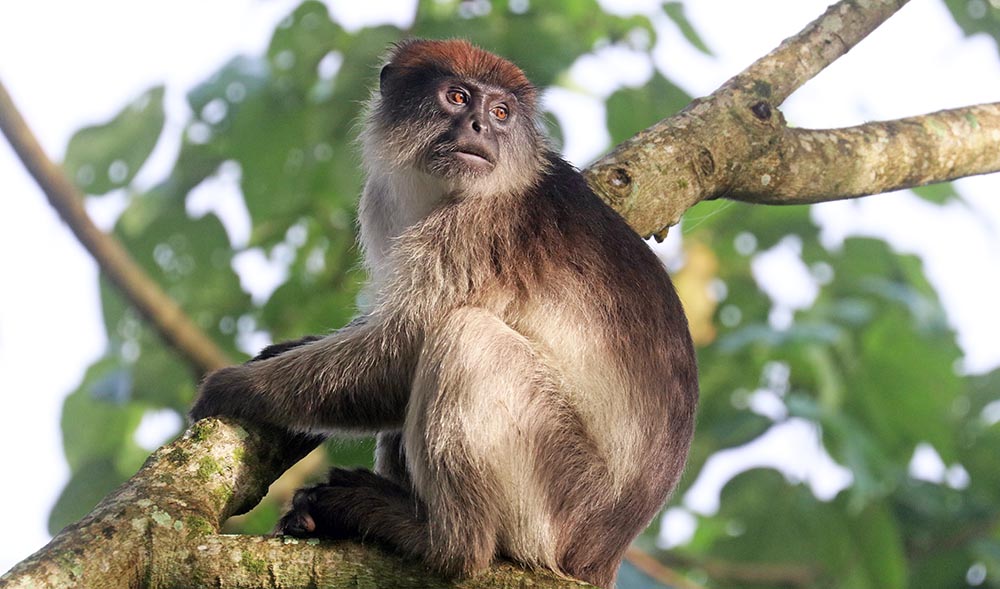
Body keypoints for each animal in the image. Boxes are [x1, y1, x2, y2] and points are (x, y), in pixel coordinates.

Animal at [191, 39, 700, 584]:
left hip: (561, 500)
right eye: (457, 97)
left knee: (466, 335)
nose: (479, 126)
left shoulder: (475, 228)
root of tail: (600, 557)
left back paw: (440, 540)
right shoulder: (381, 201)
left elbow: (400, 351)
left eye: (500, 113)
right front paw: (289, 348)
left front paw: (233, 387)